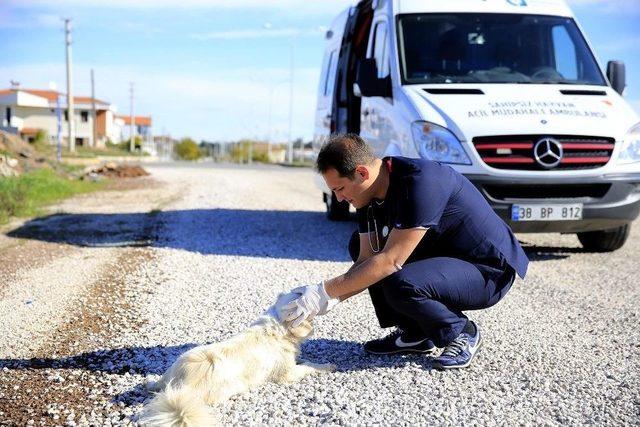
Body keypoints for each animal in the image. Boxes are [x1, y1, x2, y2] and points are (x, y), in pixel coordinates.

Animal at [139, 294, 336, 427]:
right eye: (300, 295)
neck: (276, 329)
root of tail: (180, 385)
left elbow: (303, 360)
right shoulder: (287, 374)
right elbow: (308, 366)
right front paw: (327, 365)